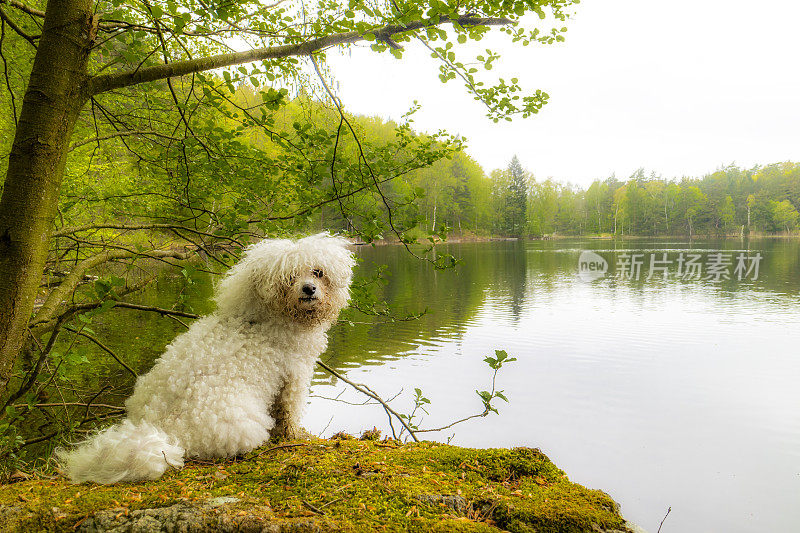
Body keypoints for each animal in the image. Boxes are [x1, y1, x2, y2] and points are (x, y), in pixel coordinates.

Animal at [57, 233, 354, 482]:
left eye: (318, 272)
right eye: (289, 277)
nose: (309, 289)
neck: (268, 317)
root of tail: (166, 430)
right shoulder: (294, 374)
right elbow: (289, 411)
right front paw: (294, 435)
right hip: (242, 423)